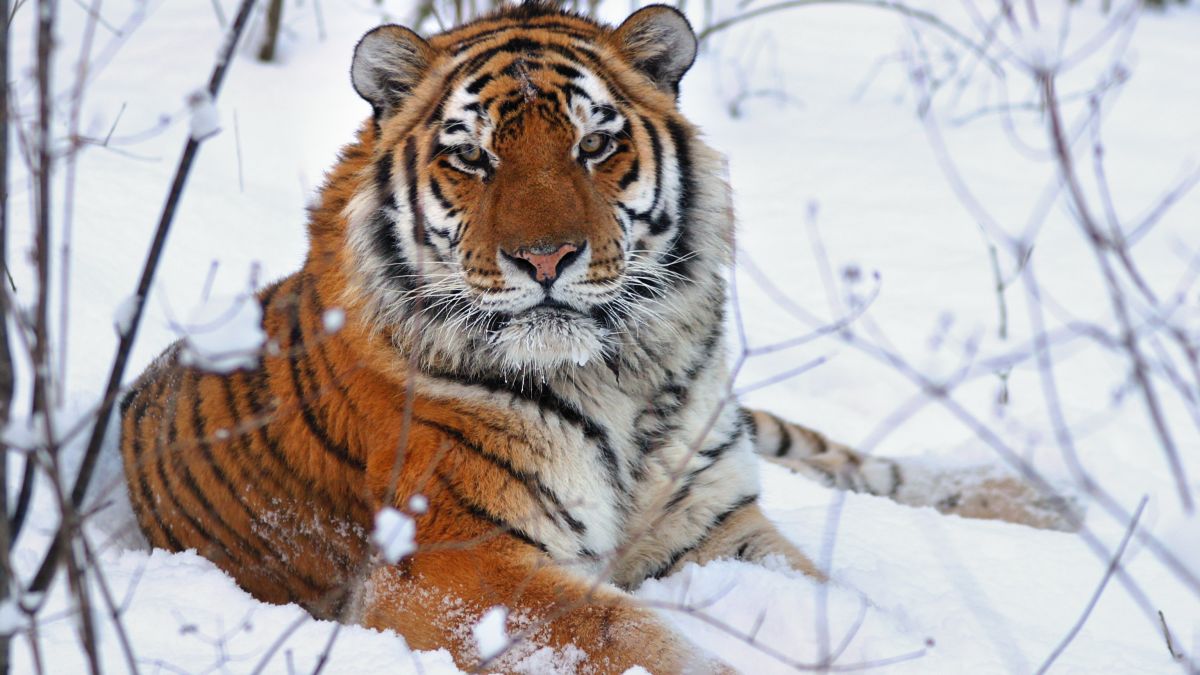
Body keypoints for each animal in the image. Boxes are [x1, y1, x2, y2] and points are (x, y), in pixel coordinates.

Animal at [118, 3, 1076, 672]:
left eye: (595, 144)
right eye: (472, 157)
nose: (545, 257)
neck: (621, 373)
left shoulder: (714, 522)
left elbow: (831, 595)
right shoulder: (456, 561)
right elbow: (630, 638)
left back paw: (1042, 500)